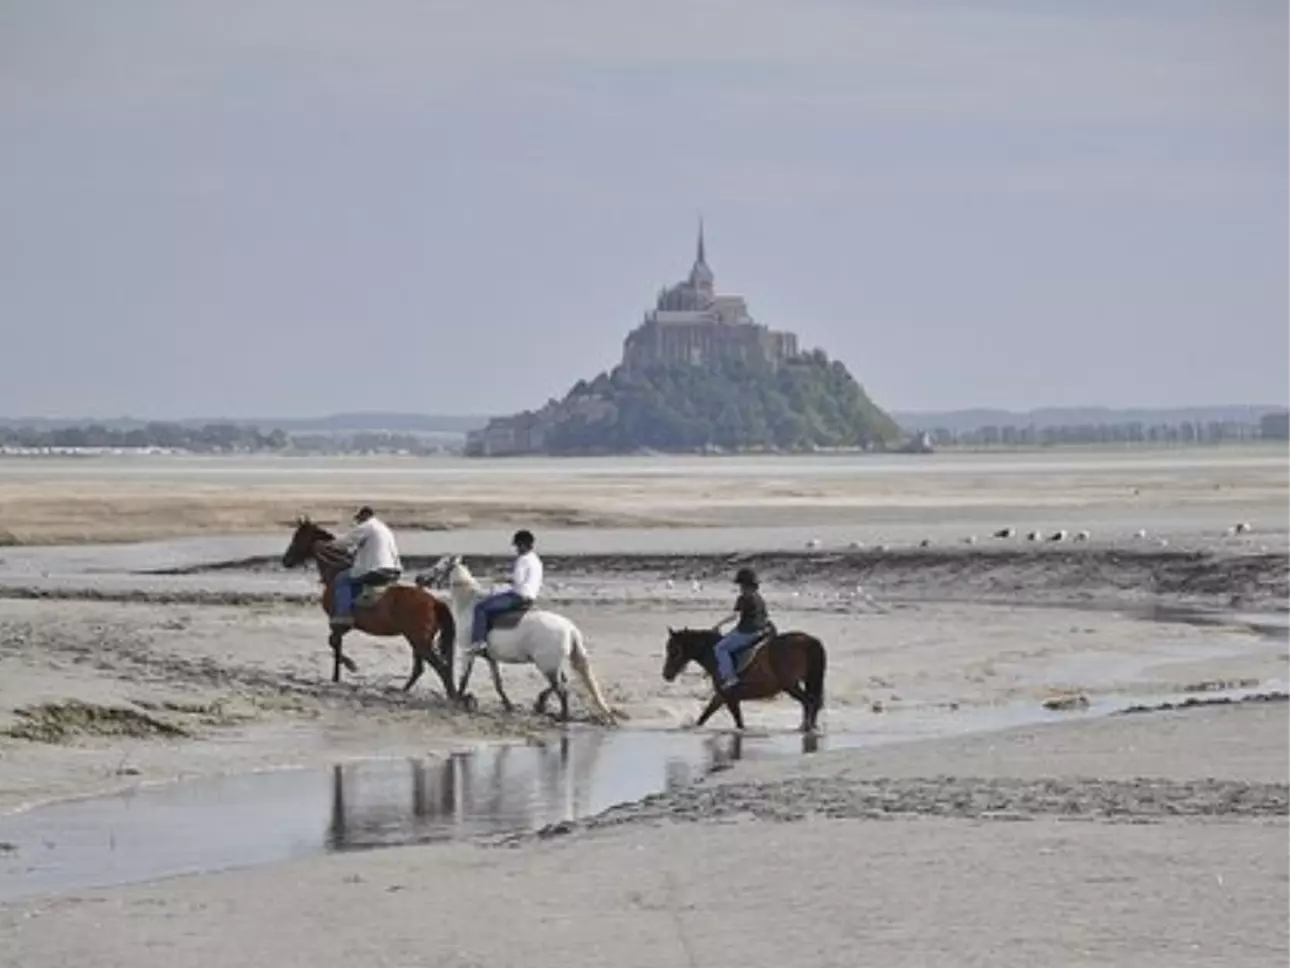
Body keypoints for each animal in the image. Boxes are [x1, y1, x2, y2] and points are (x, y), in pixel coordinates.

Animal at [281, 518, 459, 702]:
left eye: (297, 537)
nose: (285, 560)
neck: (335, 572)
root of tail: (435, 602)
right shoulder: (342, 626)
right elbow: (335, 643)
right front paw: (339, 674)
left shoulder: (338, 623)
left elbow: (333, 643)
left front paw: (348, 668)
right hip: (417, 641)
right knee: (420, 668)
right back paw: (402, 690)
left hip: (420, 642)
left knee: (440, 667)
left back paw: (453, 697)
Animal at [412, 557, 614, 722]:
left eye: (438, 566)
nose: (418, 579)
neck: (468, 605)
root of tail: (570, 628)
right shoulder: (491, 658)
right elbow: (498, 683)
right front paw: (508, 705)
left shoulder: (468, 653)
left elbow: (463, 679)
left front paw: (458, 700)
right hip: (551, 664)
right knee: (560, 683)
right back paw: (541, 705)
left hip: (546, 665)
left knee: (561, 689)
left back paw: (561, 716)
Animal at [665, 629, 825, 733]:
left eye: (674, 650)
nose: (666, 674)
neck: (715, 657)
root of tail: (808, 639)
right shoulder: (722, 696)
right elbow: (705, 715)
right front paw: (693, 727)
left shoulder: (730, 698)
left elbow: (739, 722)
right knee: (812, 703)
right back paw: (809, 727)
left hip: (790, 685)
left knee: (808, 702)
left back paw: (806, 727)